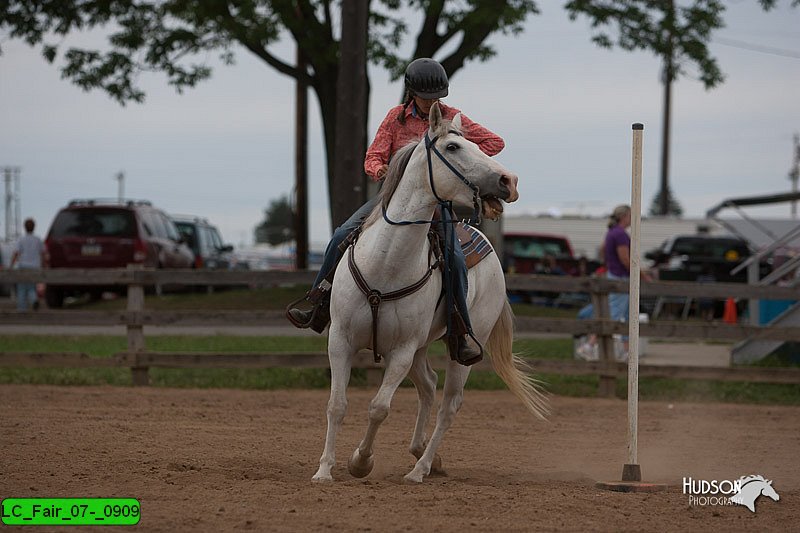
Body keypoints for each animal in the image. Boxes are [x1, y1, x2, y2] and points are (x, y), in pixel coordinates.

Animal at [312, 102, 552, 484]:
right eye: (453, 147)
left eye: (478, 146)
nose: (509, 181)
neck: (385, 265)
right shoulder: (341, 339)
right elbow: (337, 405)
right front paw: (324, 470)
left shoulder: (402, 349)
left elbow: (379, 407)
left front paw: (361, 461)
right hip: (422, 348)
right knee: (428, 386)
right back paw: (422, 453)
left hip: (460, 347)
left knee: (449, 406)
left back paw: (420, 468)